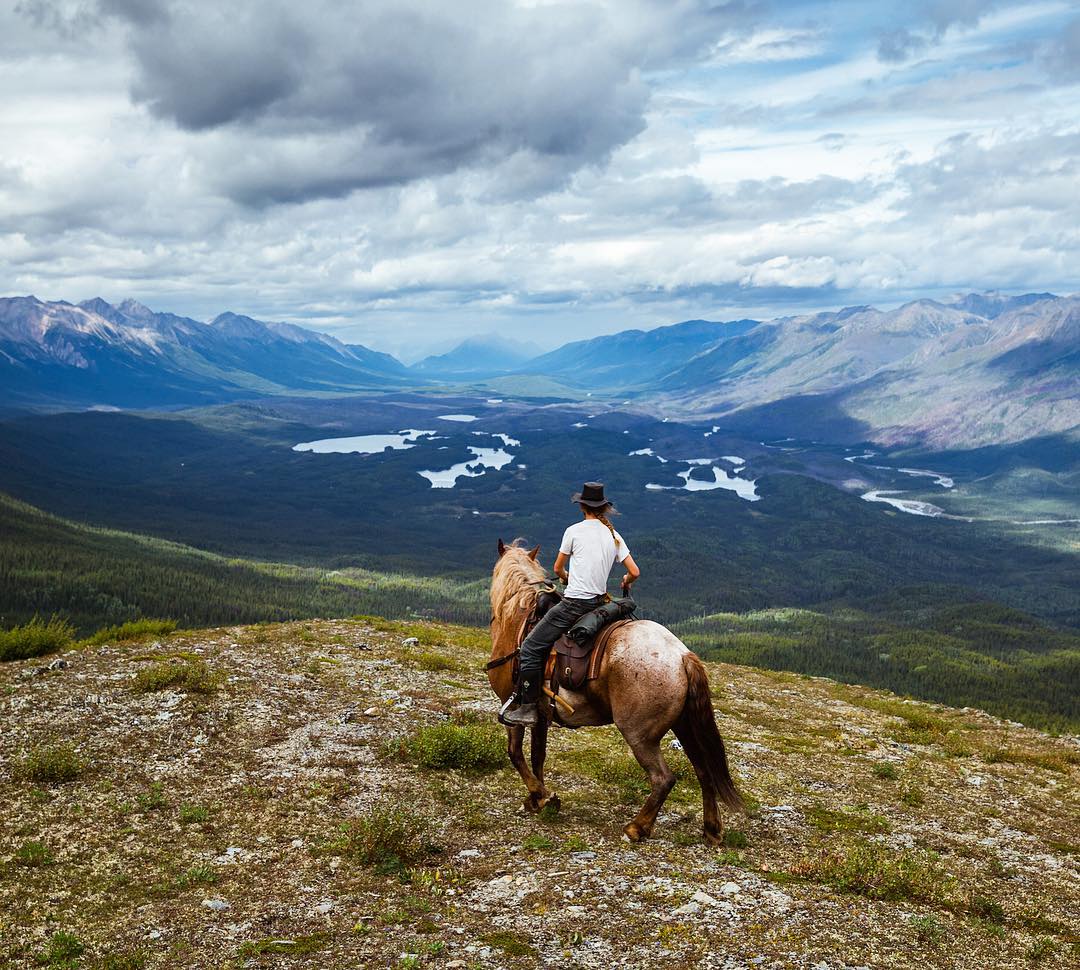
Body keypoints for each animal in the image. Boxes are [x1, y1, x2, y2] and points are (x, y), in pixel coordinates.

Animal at [490, 540, 743, 842]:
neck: (516, 618)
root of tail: (681, 655)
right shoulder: (540, 715)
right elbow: (537, 756)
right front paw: (539, 798)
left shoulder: (513, 707)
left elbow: (515, 753)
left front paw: (541, 796)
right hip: (684, 725)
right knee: (703, 771)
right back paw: (711, 828)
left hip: (639, 734)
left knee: (663, 778)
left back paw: (637, 827)